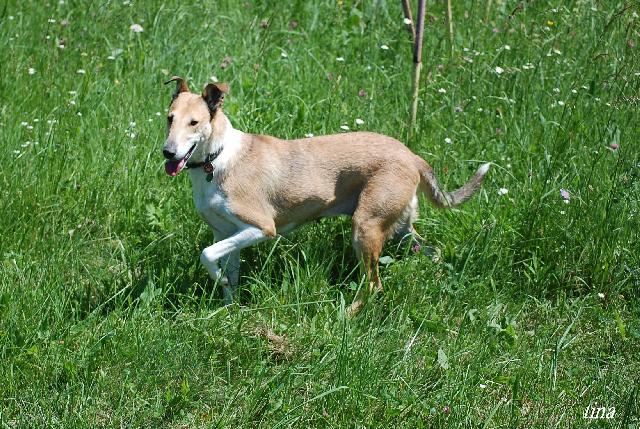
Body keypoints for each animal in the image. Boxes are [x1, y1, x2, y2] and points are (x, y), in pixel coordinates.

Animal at [162, 76, 489, 312]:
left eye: (194, 123)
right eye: (169, 118)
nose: (167, 152)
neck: (216, 158)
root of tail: (412, 155)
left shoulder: (261, 228)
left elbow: (207, 255)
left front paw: (218, 281)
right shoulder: (226, 233)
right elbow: (227, 274)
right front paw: (228, 310)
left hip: (365, 227)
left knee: (375, 286)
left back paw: (346, 314)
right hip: (399, 228)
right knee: (432, 251)